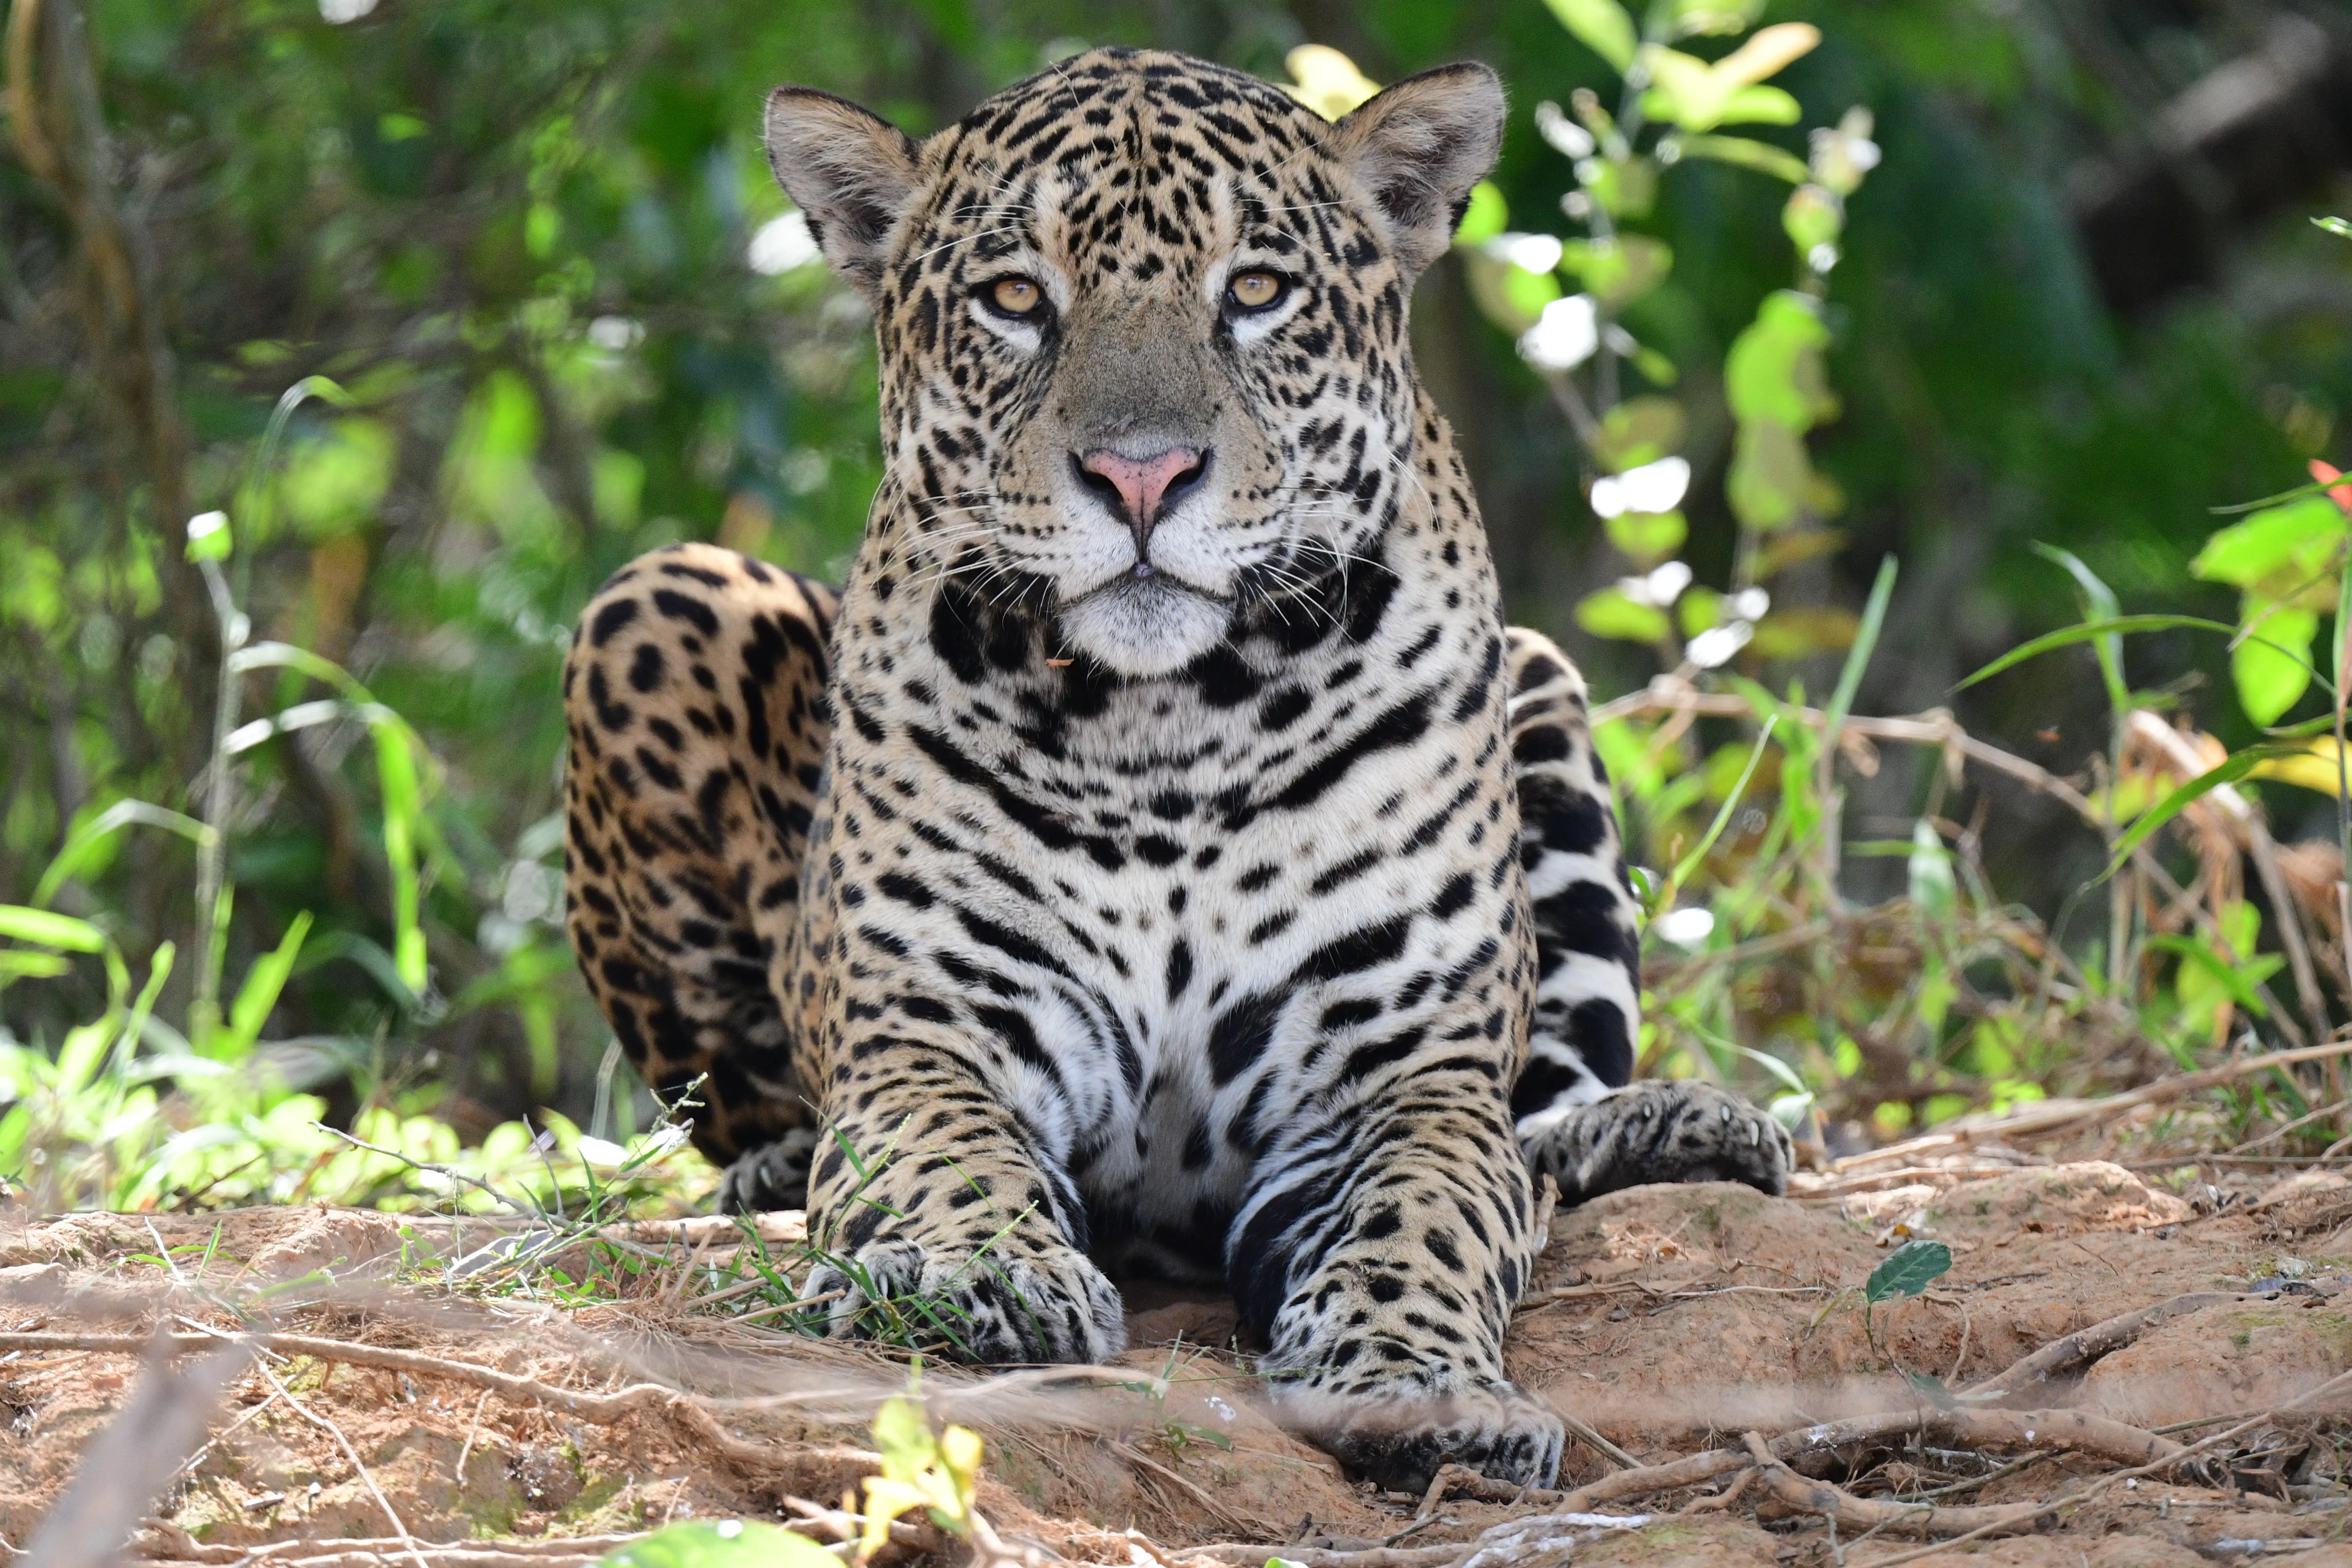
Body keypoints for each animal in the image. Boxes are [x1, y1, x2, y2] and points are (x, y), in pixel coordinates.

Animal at [560, 46, 1791, 1493]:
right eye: (1014, 298)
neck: (1166, 733)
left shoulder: (1393, 1080)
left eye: (1254, 292)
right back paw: (778, 1166)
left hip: (1538, 679)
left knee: (1539, 1104)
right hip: (657, 599)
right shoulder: (928, 1034)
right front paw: (980, 1273)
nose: (1140, 476)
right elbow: (944, 1152)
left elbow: (1427, 1205)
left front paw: (1418, 1381)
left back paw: (1670, 1130)